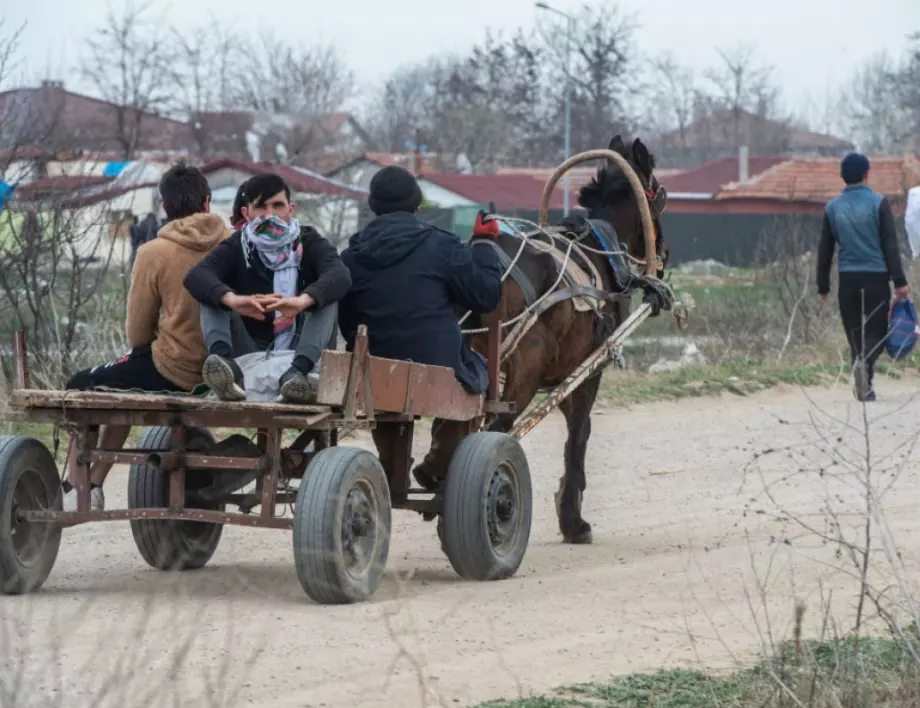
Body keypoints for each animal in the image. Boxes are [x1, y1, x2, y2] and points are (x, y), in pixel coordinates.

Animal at [414, 136, 672, 548]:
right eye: (659, 194)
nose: (663, 253)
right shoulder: (586, 372)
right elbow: (578, 439)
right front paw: (574, 521)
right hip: (524, 372)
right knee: (497, 430)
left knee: (454, 424)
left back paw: (432, 473)